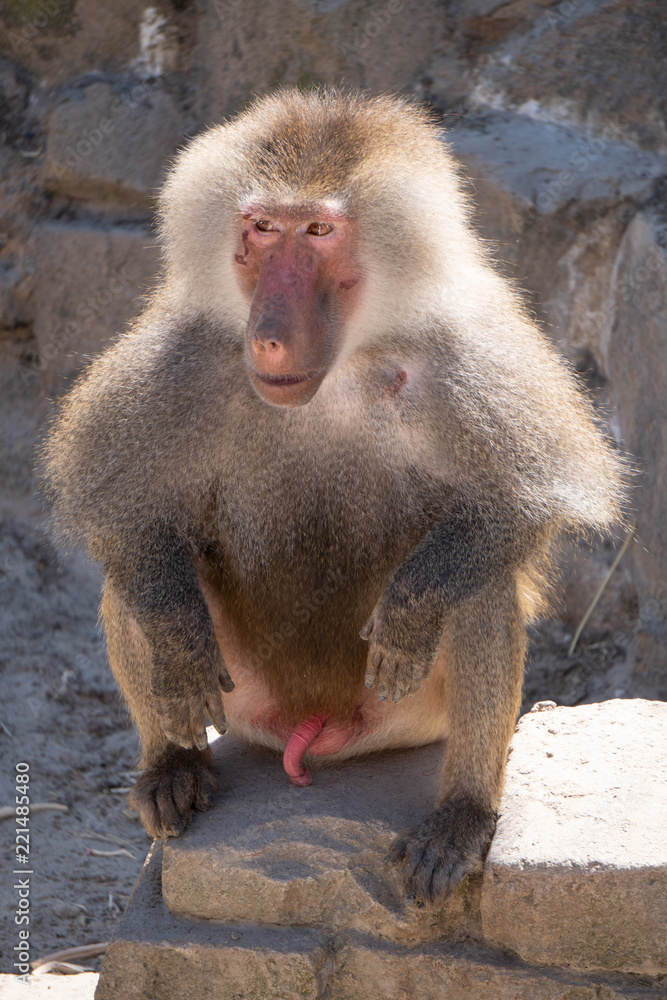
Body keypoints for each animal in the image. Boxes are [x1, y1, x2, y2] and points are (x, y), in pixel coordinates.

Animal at [43, 88, 624, 905]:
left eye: (319, 231)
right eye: (261, 228)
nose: (269, 337)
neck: (346, 362)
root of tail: (314, 729)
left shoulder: (475, 354)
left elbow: (524, 503)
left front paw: (409, 612)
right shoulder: (178, 354)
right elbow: (120, 508)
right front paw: (177, 639)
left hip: (407, 715)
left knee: (478, 590)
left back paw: (460, 819)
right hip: (243, 703)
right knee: (132, 580)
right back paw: (173, 767)